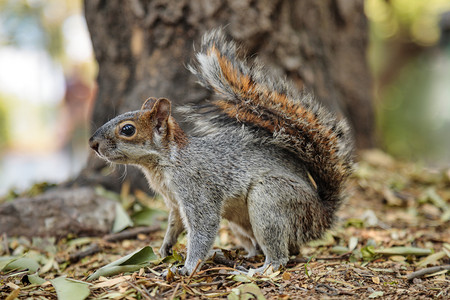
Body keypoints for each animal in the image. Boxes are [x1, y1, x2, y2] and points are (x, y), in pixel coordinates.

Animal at [89, 29, 356, 276]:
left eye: (127, 129)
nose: (92, 143)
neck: (166, 163)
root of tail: (322, 215)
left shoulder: (197, 187)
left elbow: (202, 227)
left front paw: (187, 268)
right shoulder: (174, 202)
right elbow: (174, 225)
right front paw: (164, 249)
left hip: (271, 200)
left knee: (280, 254)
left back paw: (259, 269)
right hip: (241, 222)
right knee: (282, 247)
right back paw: (236, 255)